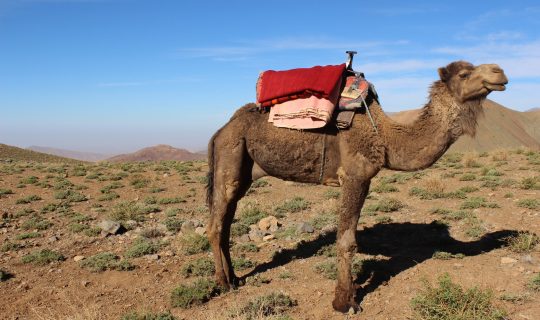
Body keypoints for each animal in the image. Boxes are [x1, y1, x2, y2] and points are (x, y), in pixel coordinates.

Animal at [205, 60, 508, 312]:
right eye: (464, 74)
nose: (500, 72)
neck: (385, 137)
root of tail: (220, 130)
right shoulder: (354, 176)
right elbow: (347, 240)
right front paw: (344, 301)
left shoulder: (364, 180)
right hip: (231, 155)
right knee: (217, 224)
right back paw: (223, 283)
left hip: (245, 169)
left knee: (227, 221)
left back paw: (235, 277)